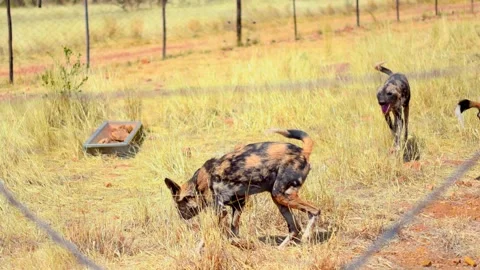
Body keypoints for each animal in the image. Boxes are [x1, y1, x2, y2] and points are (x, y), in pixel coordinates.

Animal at [164, 129, 318, 249]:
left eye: (178, 205)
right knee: (295, 228)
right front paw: (242, 244)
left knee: (315, 211)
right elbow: (232, 232)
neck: (198, 184)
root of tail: (302, 151)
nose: (181, 216)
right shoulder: (238, 205)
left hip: (282, 194)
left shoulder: (221, 211)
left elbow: (216, 233)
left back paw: (306, 237)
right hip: (279, 199)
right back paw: (279, 248)